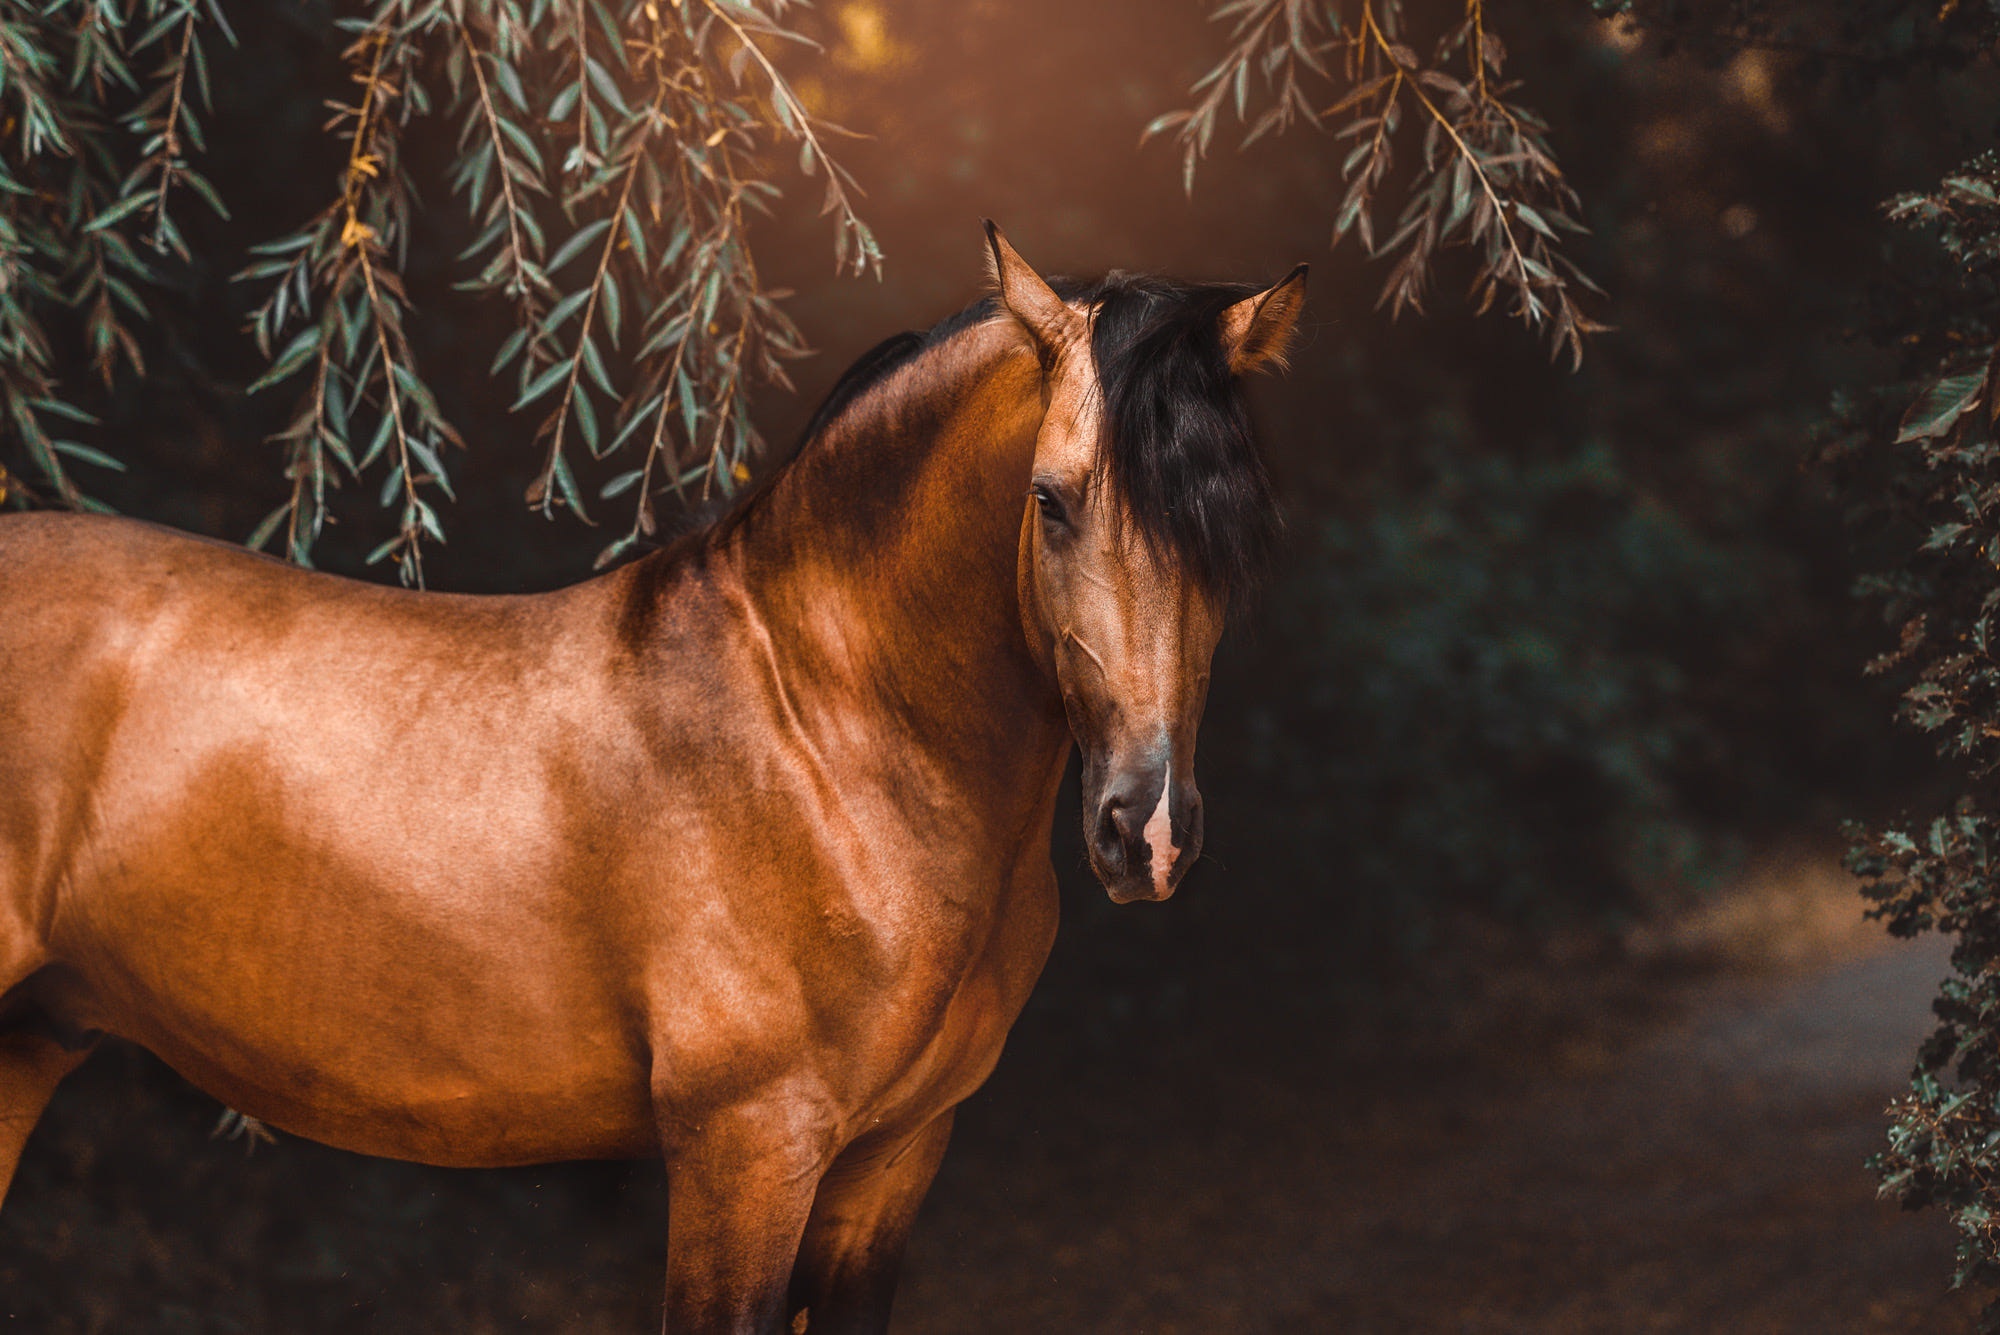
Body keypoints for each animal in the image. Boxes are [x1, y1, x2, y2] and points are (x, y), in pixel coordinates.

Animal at [0, 223, 1305, 1334]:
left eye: (1231, 531)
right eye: (1051, 500)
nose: (1145, 830)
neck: (827, 736)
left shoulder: (890, 1168)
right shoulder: (747, 1154)